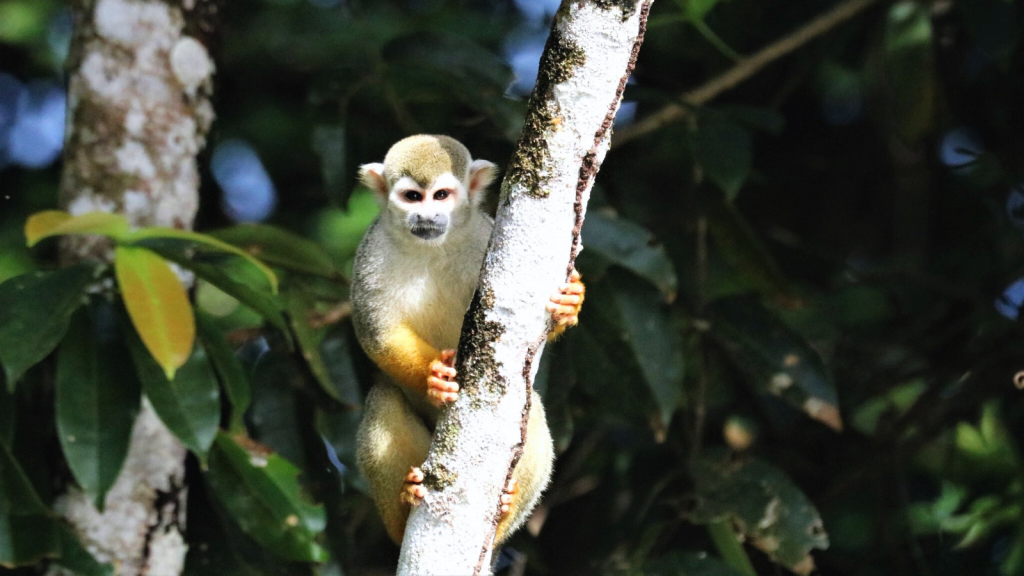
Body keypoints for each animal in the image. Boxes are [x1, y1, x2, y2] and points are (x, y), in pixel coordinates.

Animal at [350, 133, 585, 541]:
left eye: (441, 195)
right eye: (413, 197)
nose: (426, 217)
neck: (432, 247)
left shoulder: (485, 237)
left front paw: (569, 303)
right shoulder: (371, 254)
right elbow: (375, 332)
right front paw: (433, 376)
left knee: (533, 414)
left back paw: (503, 514)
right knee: (383, 399)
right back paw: (404, 507)